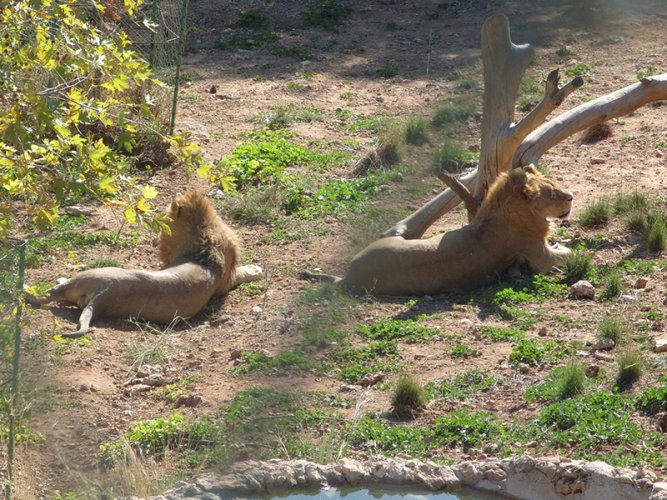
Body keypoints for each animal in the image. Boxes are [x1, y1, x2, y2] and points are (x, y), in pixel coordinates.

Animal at [28, 189, 264, 338]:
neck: (201, 234)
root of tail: (105, 294)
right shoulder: (225, 280)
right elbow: (241, 272)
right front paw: (256, 268)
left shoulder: (225, 281)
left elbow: (242, 273)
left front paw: (255, 269)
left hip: (91, 276)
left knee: (53, 290)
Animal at [300, 166, 572, 294]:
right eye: (552, 194)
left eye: (554, 185)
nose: (571, 197)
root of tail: (349, 278)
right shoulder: (541, 258)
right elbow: (568, 254)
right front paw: (566, 246)